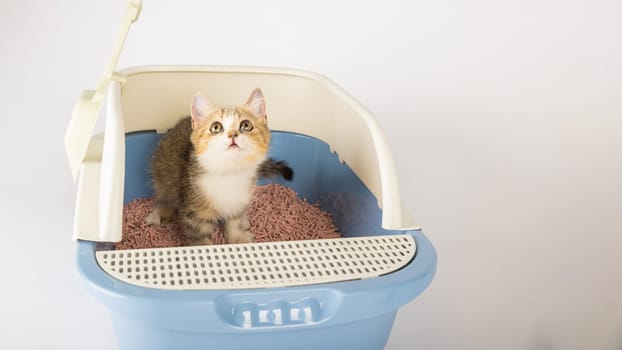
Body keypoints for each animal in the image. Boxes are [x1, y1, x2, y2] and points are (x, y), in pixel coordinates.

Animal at [147, 89, 294, 245]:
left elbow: (234, 220)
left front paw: (237, 237)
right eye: (216, 127)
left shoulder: (239, 199)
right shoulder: (195, 211)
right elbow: (199, 239)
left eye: (246, 125)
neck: (228, 171)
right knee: (166, 195)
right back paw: (159, 213)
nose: (233, 134)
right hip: (162, 168)